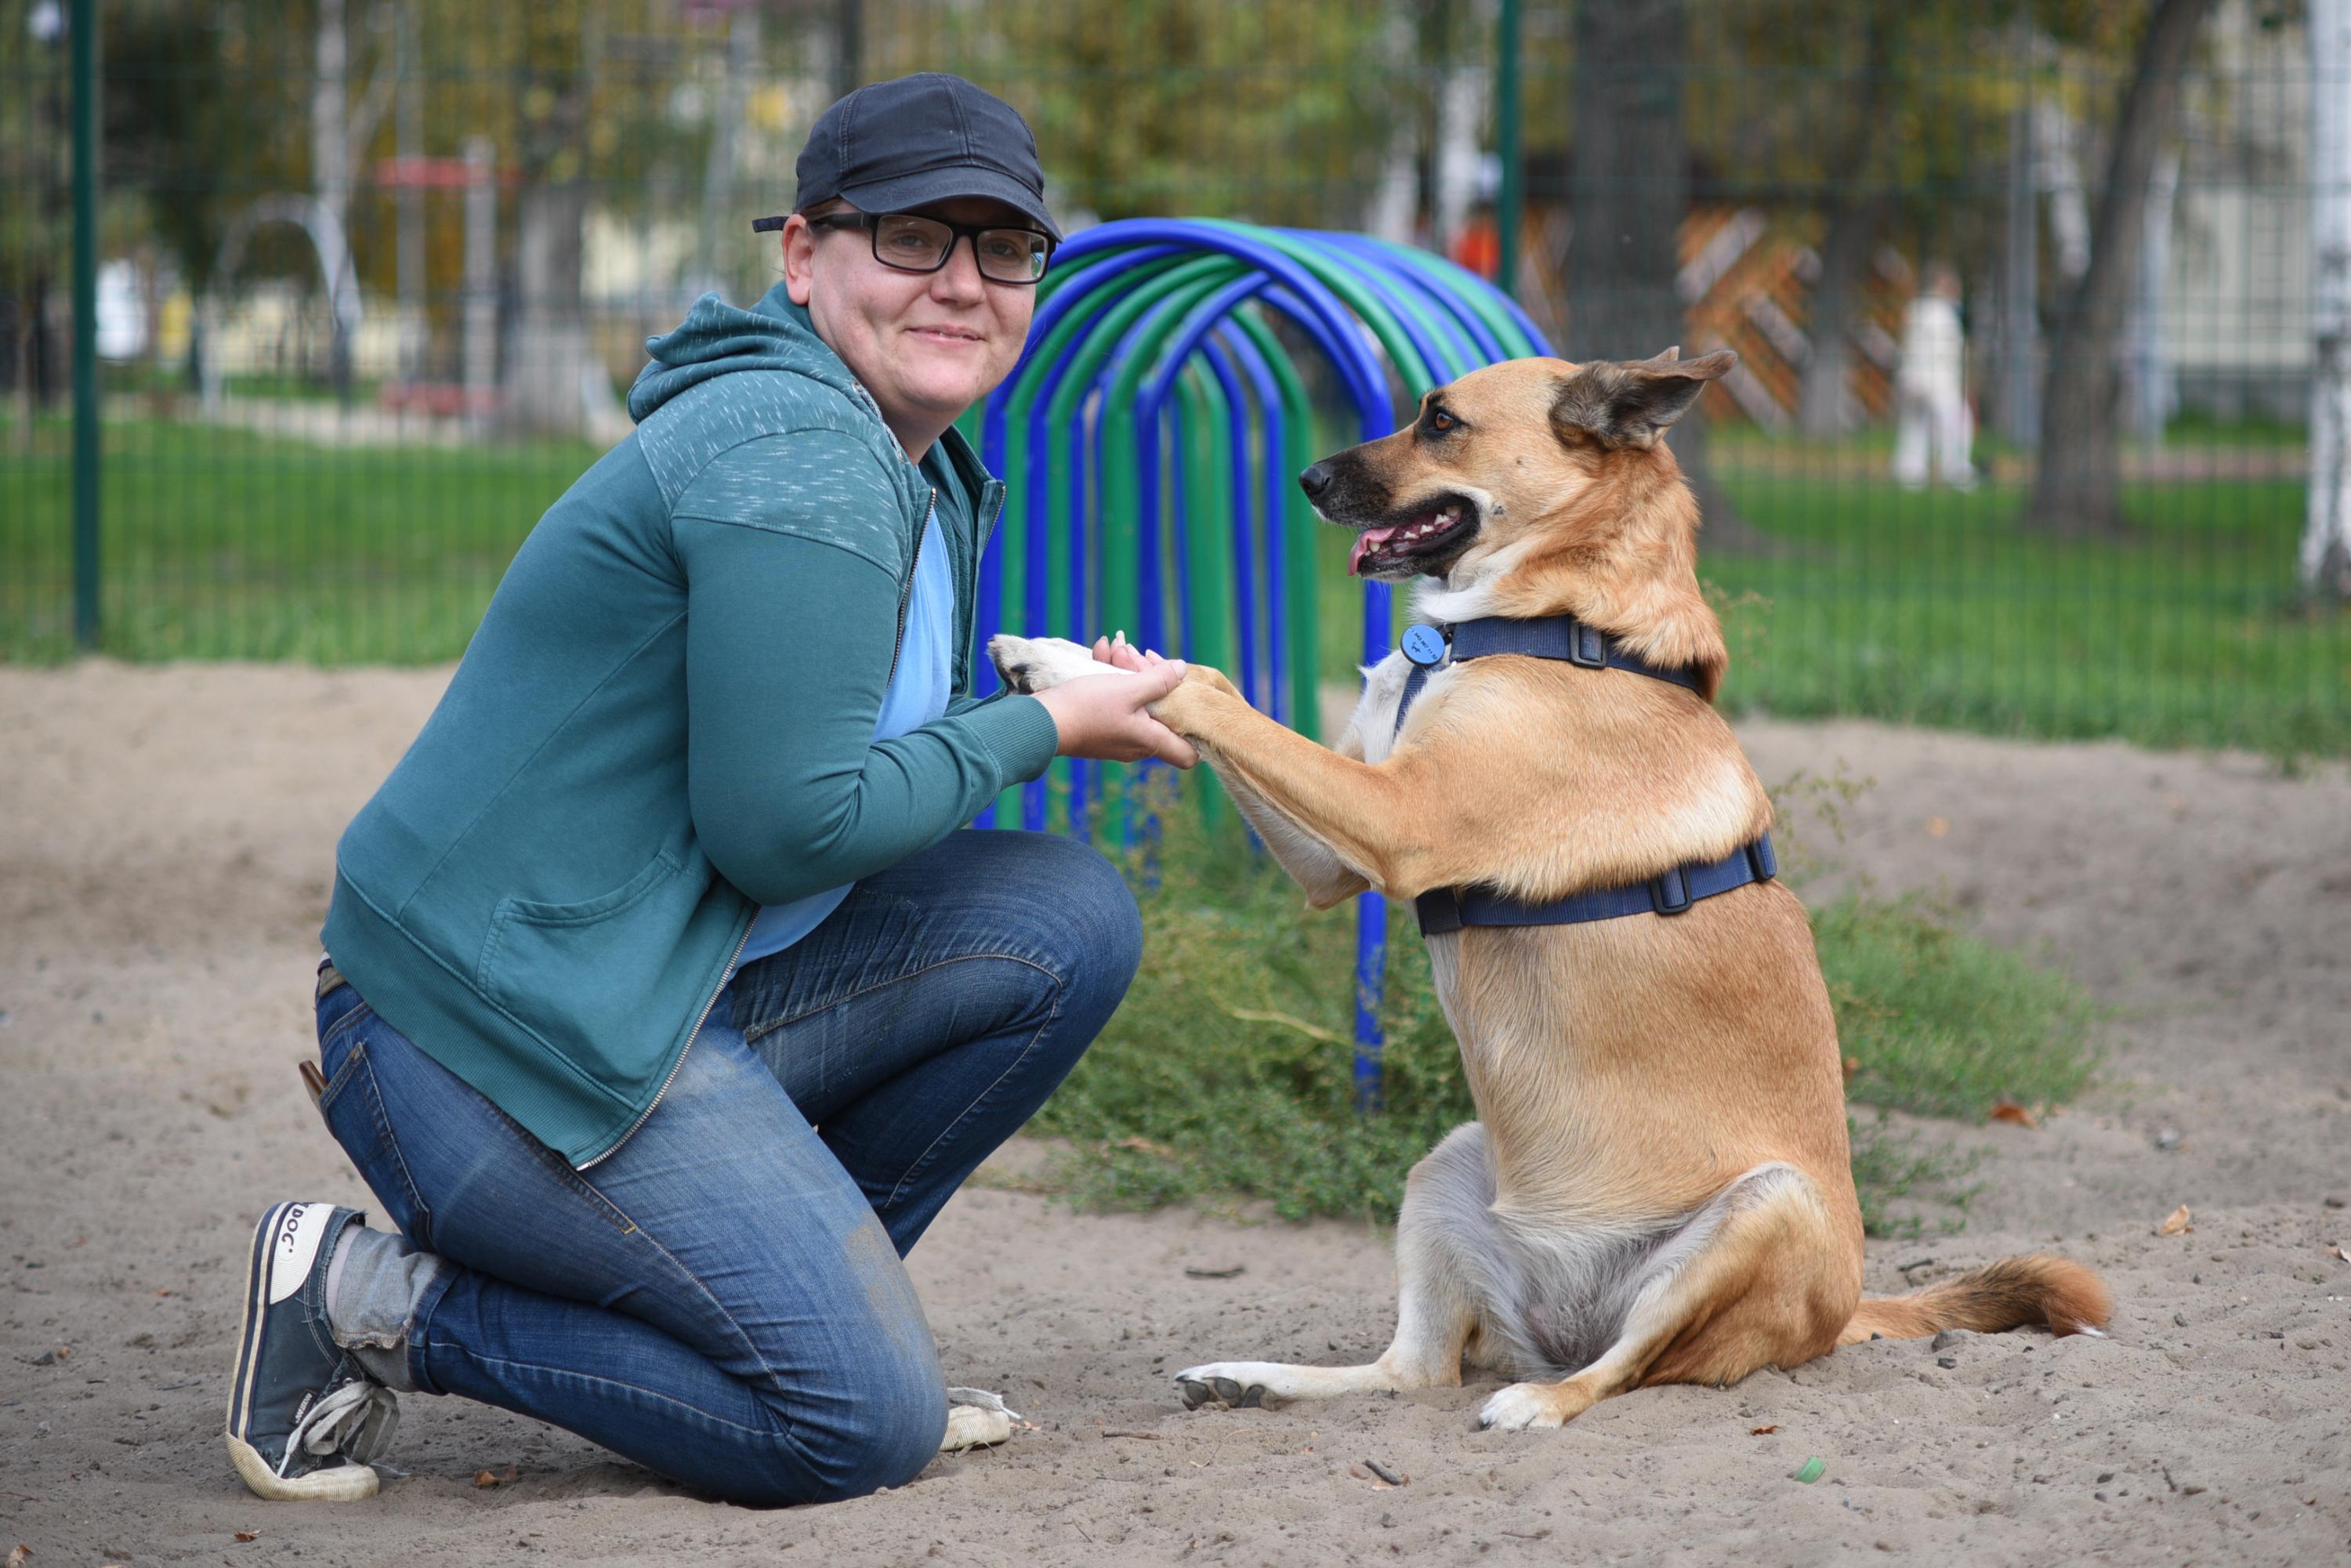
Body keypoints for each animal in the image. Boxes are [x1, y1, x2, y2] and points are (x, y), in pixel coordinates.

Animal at [992, 350, 2116, 1429]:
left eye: (1441, 420)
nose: (1308, 479)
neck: (1551, 616)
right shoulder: (1336, 859)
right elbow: (1218, 687)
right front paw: (1077, 658)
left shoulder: (1398, 822)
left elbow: (1215, 697)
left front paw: (1075, 669)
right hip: (1446, 1167)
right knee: (1413, 1372)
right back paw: (1256, 1381)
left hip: (1762, 1209)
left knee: (1627, 1371)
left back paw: (1536, 1403)